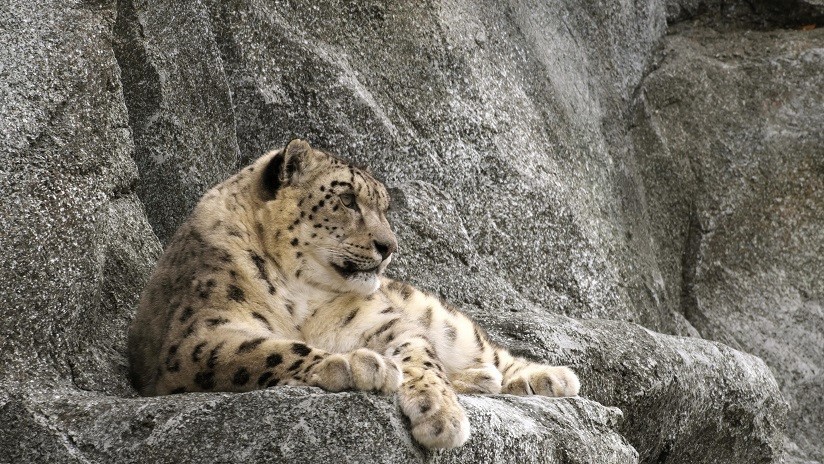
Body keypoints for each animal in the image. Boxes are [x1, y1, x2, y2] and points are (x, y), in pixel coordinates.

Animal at [127, 138, 580, 449]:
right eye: (346, 199)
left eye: (384, 208)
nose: (389, 245)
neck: (300, 293)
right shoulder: (198, 336)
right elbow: (269, 350)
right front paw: (357, 364)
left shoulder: (386, 324)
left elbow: (423, 358)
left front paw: (440, 414)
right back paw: (482, 378)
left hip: (442, 318)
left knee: (486, 348)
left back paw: (549, 376)